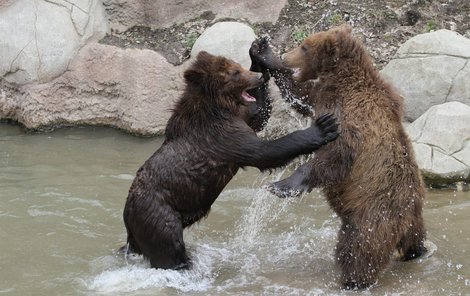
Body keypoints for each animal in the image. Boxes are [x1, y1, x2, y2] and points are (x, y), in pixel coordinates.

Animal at [123, 51, 340, 270]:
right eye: (234, 73)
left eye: (239, 66)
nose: (258, 77)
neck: (220, 106)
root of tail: (127, 214)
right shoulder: (222, 135)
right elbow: (264, 152)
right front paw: (324, 127)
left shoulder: (239, 116)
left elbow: (259, 112)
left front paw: (259, 53)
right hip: (158, 213)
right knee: (169, 248)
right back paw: (184, 263)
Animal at [252, 25, 428, 290]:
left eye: (304, 46)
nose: (285, 56)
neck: (342, 81)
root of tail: (407, 213)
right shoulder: (322, 95)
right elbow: (299, 95)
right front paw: (264, 52)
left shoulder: (352, 116)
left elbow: (335, 155)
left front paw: (281, 186)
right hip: (413, 216)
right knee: (414, 239)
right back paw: (417, 252)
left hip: (373, 213)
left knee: (360, 248)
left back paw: (353, 280)